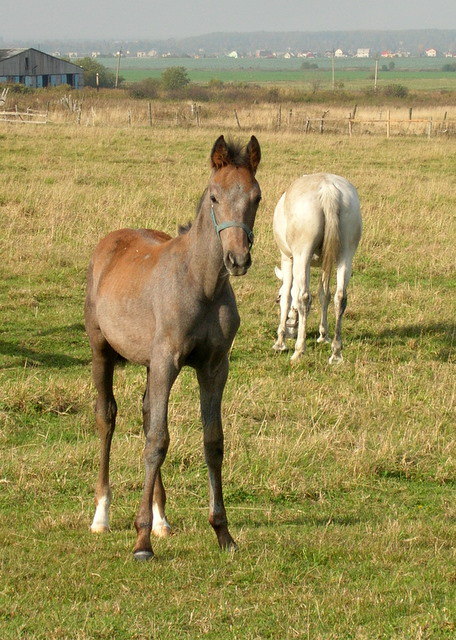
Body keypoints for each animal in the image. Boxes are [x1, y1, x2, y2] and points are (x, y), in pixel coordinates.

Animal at [84, 135, 260, 560]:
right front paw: (141, 542)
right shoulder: (167, 361)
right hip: (102, 350)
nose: (238, 259)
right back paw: (102, 515)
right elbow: (157, 442)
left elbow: (213, 441)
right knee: (107, 416)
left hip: (150, 363)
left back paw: (161, 518)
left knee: (148, 411)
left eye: (257, 197)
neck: (202, 284)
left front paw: (223, 533)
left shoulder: (214, 367)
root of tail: (112, 239)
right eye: (214, 196)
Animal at [272, 174, 362, 364]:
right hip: (345, 255)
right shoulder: (326, 265)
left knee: (304, 297)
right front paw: (323, 335)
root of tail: (328, 188)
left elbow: (288, 297)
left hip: (302, 255)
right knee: (340, 297)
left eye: (277, 297)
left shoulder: (288, 259)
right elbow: (324, 295)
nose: (290, 333)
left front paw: (280, 342)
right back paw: (336, 352)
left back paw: (299, 350)